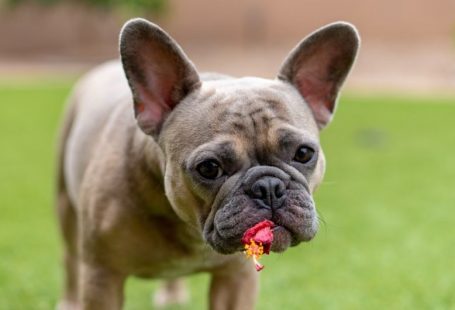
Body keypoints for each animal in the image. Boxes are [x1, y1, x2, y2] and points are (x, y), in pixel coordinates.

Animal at [56, 17, 360, 310]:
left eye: (304, 153)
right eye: (210, 168)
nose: (268, 186)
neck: (190, 228)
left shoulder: (236, 278)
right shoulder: (103, 276)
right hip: (66, 208)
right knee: (70, 258)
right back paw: (69, 302)